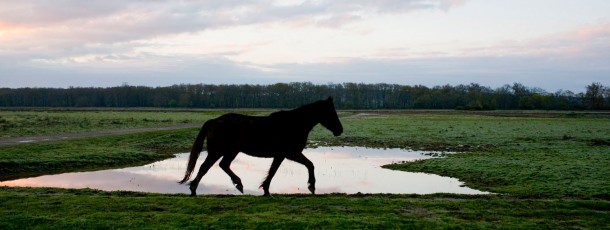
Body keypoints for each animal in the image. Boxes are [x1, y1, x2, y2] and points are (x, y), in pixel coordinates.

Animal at [179, 96, 342, 196]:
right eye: (331, 113)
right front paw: (311, 186)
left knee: (223, 165)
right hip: (217, 151)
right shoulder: (290, 153)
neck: (294, 124)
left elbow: (273, 171)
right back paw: (193, 188)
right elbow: (309, 165)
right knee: (204, 167)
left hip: (231, 151)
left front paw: (265, 189)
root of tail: (214, 121)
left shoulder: (282, 155)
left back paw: (238, 184)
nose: (340, 130)